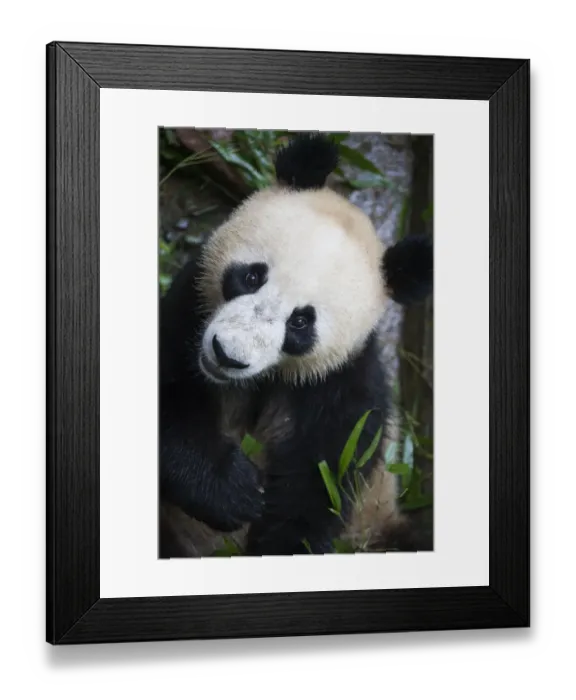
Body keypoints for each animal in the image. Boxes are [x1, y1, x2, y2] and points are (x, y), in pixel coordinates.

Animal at [159, 133, 432, 558]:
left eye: (300, 322)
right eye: (252, 276)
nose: (227, 355)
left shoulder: (339, 381)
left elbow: (318, 482)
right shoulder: (191, 311)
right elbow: (172, 400)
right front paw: (231, 491)